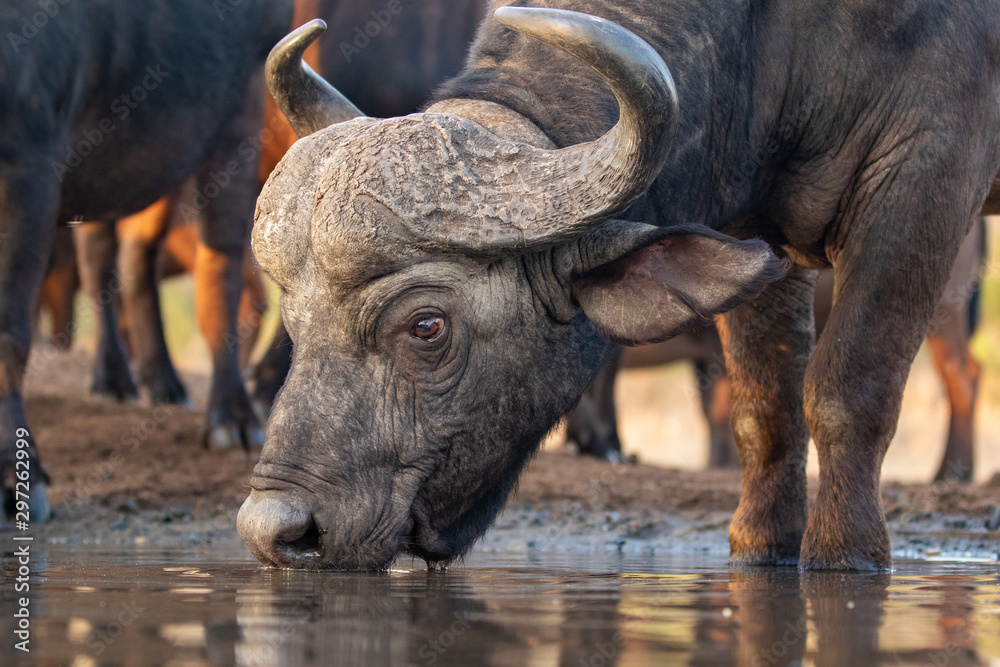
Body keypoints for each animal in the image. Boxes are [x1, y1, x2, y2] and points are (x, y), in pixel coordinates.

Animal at [239, 3, 1000, 571]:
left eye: (427, 326)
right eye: (295, 323)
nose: (277, 531)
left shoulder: (928, 174)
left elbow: (847, 391)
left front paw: (846, 554)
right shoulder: (761, 228)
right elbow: (765, 408)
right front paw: (761, 550)